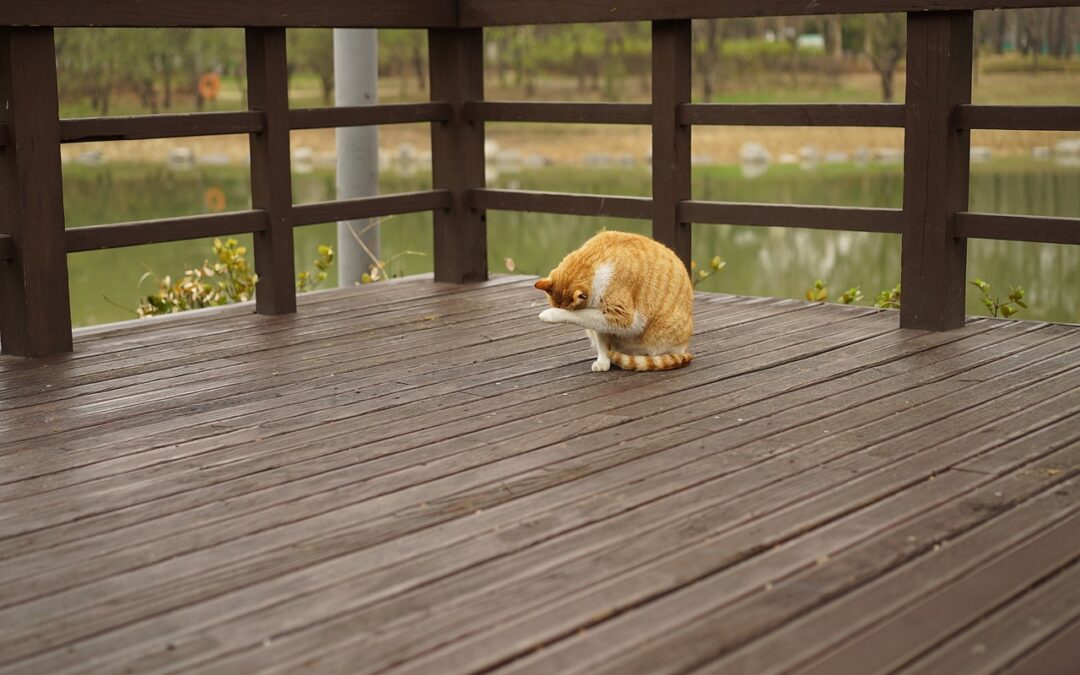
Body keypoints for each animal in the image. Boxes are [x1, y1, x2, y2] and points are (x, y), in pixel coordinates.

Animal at [531, 230, 691, 369]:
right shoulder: (601, 320)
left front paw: (550, 314)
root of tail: (684, 348)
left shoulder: (621, 316)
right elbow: (601, 340)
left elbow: (578, 315)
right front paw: (603, 361)